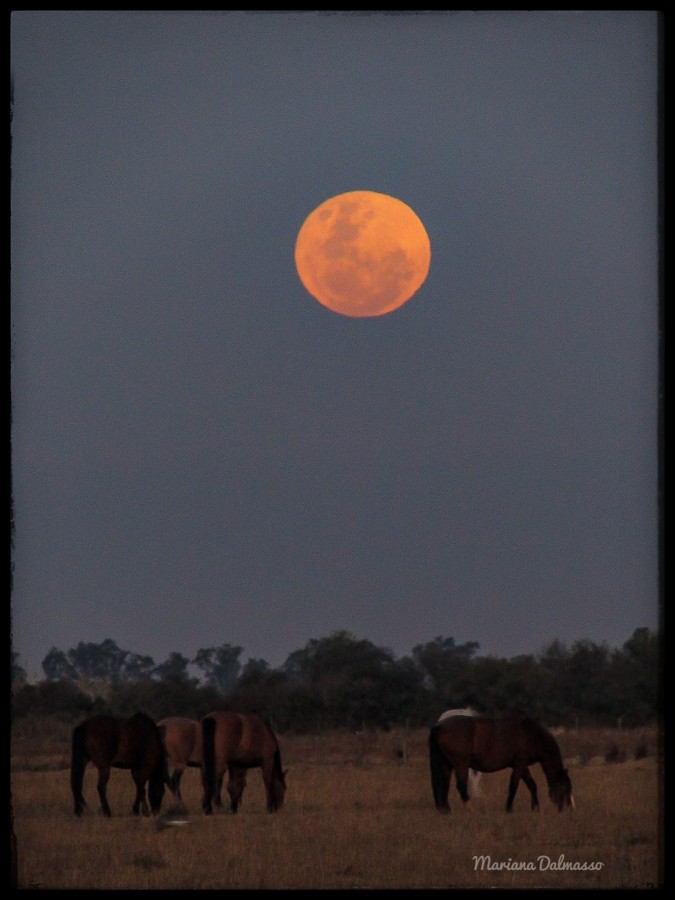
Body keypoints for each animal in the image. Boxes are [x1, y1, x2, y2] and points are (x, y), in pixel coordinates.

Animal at [430, 712, 572, 816]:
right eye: (564, 787)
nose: (562, 809)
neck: (531, 733)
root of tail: (439, 726)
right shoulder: (520, 764)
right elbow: (514, 786)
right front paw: (508, 809)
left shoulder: (522, 766)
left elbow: (532, 785)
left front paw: (535, 808)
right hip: (461, 765)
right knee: (461, 786)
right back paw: (471, 809)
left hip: (447, 765)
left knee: (444, 785)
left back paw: (446, 811)